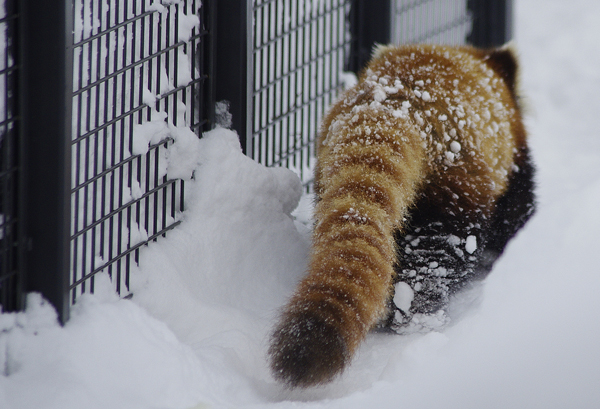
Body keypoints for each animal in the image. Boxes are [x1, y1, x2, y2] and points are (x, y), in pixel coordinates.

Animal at [268, 43, 536, 388]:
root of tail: (399, 103)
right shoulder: (511, 167)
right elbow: (515, 213)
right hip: (453, 187)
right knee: (438, 254)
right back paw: (419, 318)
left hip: (328, 178)